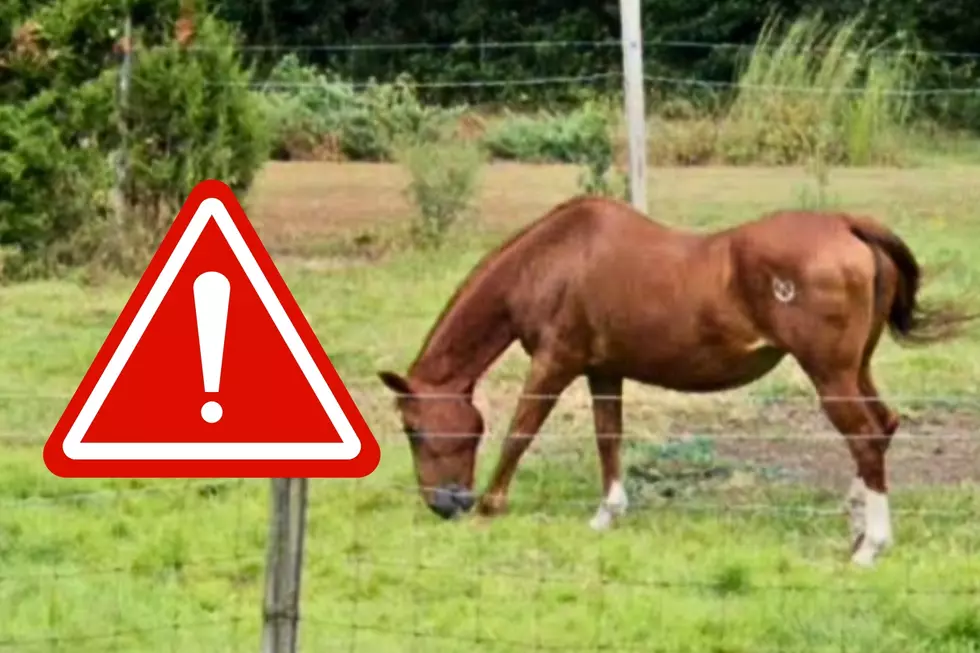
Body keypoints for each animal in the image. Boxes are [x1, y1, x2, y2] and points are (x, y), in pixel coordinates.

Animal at [377, 195, 975, 567]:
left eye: (413, 429)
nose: (444, 504)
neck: (554, 259)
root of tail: (848, 224)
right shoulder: (603, 370)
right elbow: (609, 437)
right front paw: (607, 514)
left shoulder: (555, 363)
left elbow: (520, 431)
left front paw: (491, 507)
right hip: (855, 369)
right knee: (883, 425)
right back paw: (856, 526)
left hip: (830, 374)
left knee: (866, 437)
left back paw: (871, 546)